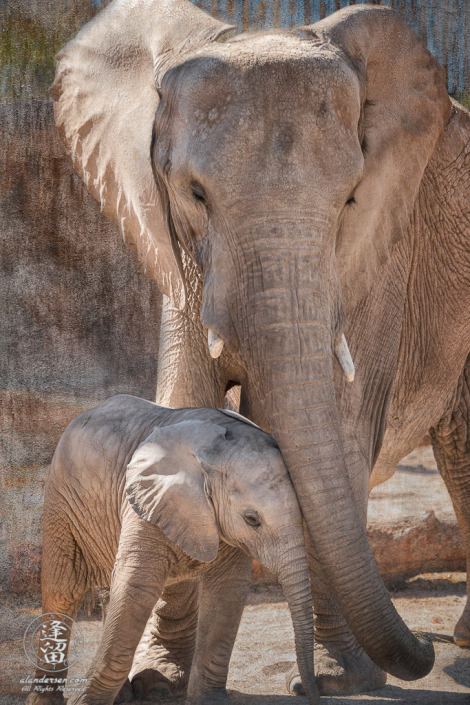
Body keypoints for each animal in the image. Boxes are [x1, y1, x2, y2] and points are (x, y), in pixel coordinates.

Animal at [26, 396, 320, 704]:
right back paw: (44, 699)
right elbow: (136, 586)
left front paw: (211, 701)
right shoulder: (146, 502)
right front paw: (85, 702)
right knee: (62, 591)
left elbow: (228, 590)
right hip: (60, 500)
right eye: (252, 519)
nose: (306, 691)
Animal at [49, 0, 468, 692]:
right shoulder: (177, 255)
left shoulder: (380, 250)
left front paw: (340, 680)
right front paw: (158, 677)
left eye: (350, 199)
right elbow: (183, 402)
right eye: (194, 194)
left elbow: (339, 432)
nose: (421, 658)